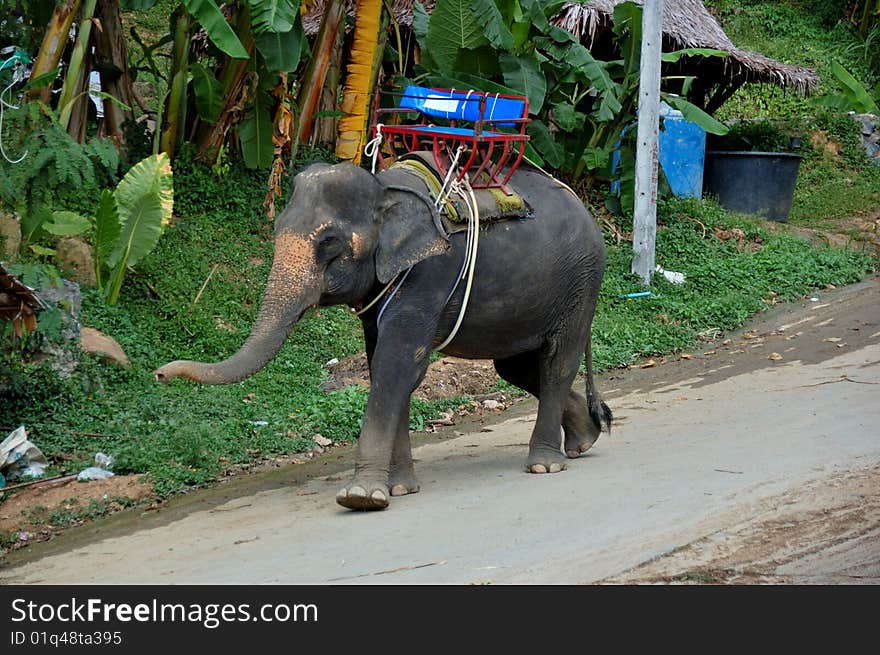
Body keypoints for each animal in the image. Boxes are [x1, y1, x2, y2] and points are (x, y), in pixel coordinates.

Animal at [153, 159, 612, 512]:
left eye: (329, 242)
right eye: (277, 227)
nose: (159, 374)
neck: (383, 188)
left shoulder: (429, 273)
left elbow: (398, 362)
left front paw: (361, 497)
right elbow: (384, 366)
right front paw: (400, 488)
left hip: (582, 282)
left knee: (557, 362)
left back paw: (545, 464)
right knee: (516, 368)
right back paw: (585, 438)